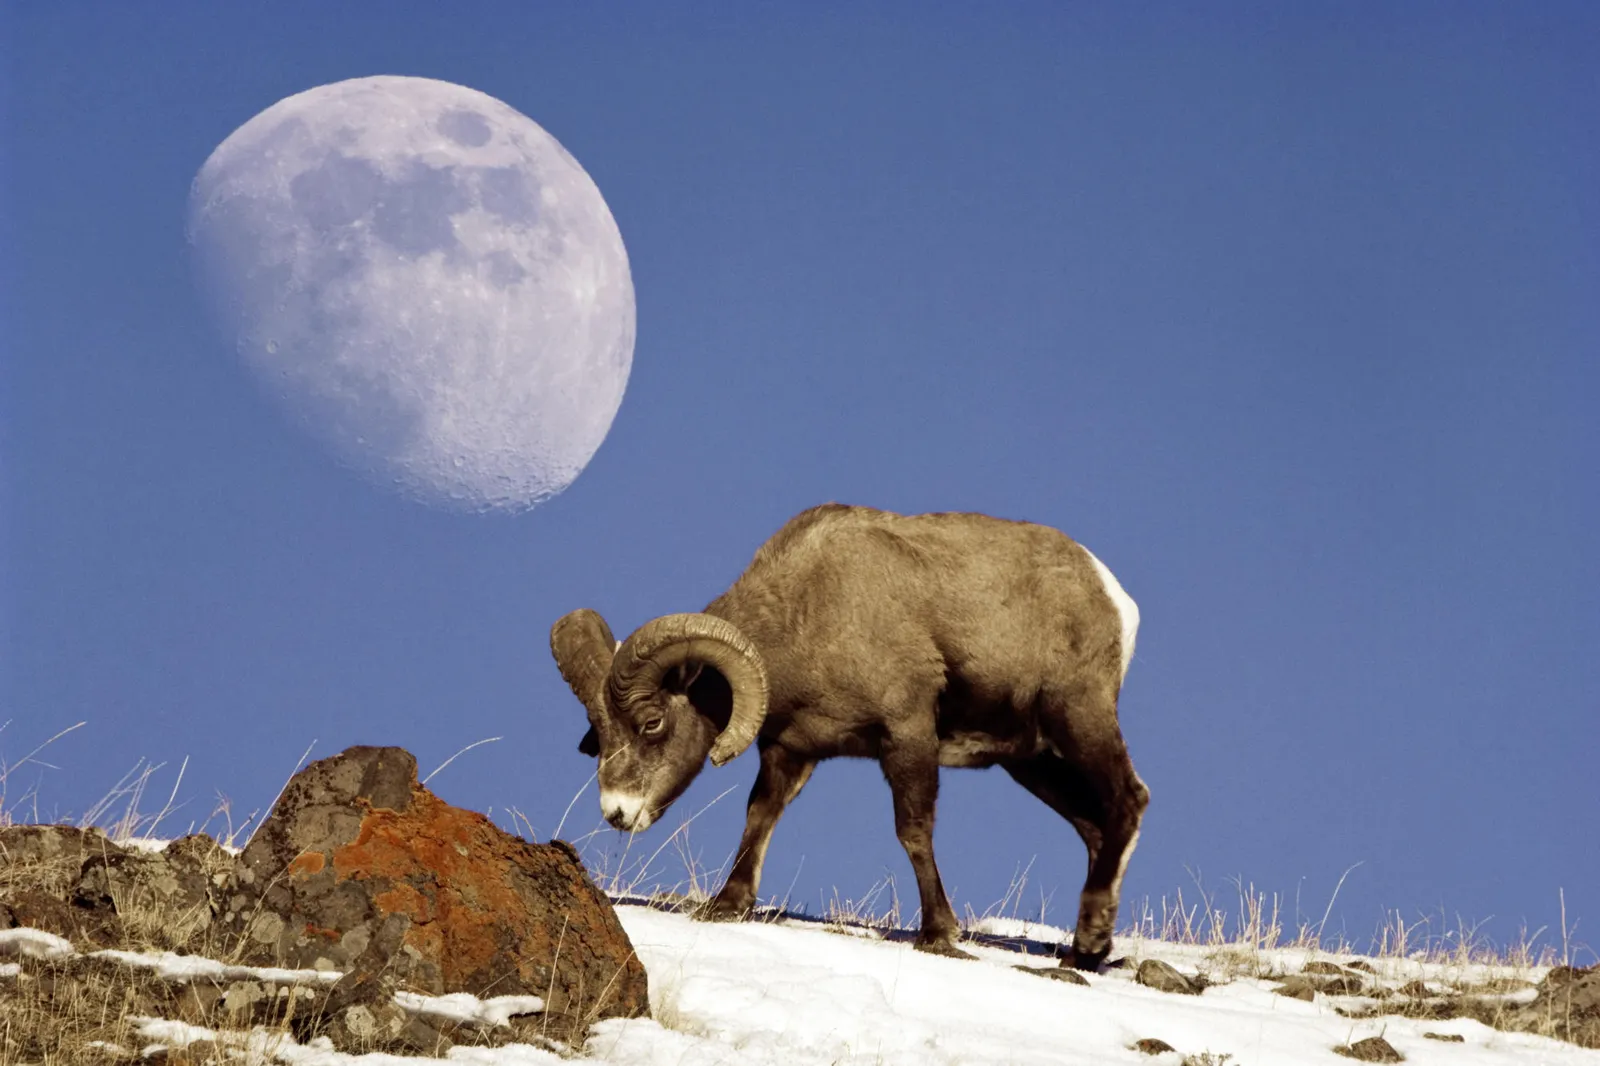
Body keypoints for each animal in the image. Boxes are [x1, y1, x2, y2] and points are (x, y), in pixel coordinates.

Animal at [550, 503, 1148, 969]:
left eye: (652, 723)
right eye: (599, 733)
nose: (617, 813)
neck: (810, 612)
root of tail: (1113, 596)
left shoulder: (906, 734)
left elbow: (913, 831)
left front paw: (938, 934)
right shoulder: (790, 751)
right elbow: (760, 817)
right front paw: (728, 905)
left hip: (1079, 718)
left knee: (1128, 800)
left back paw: (1087, 945)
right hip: (1031, 761)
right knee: (1095, 829)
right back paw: (1089, 950)